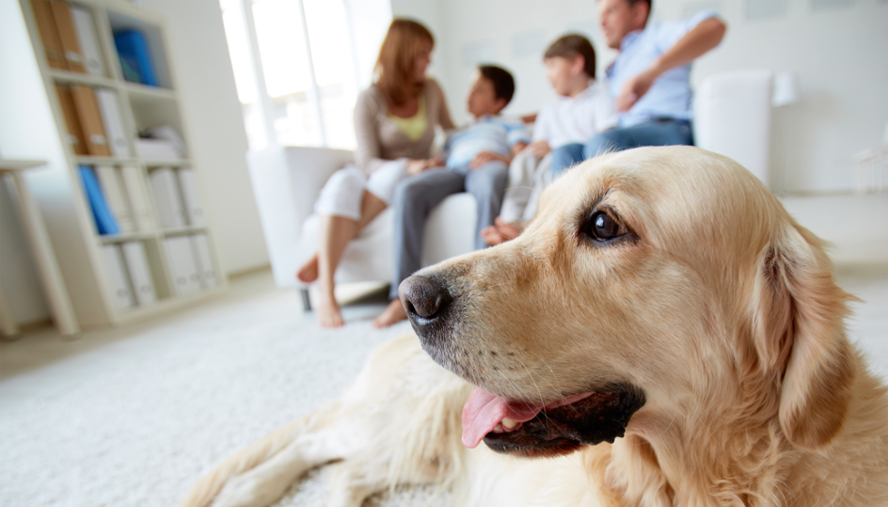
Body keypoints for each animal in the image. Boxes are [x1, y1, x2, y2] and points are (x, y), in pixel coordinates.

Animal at [180, 148, 888, 507]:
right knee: (318, 445)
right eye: (533, 218)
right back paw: (246, 490)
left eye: (603, 224)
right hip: (407, 423)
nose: (410, 297)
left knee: (342, 471)